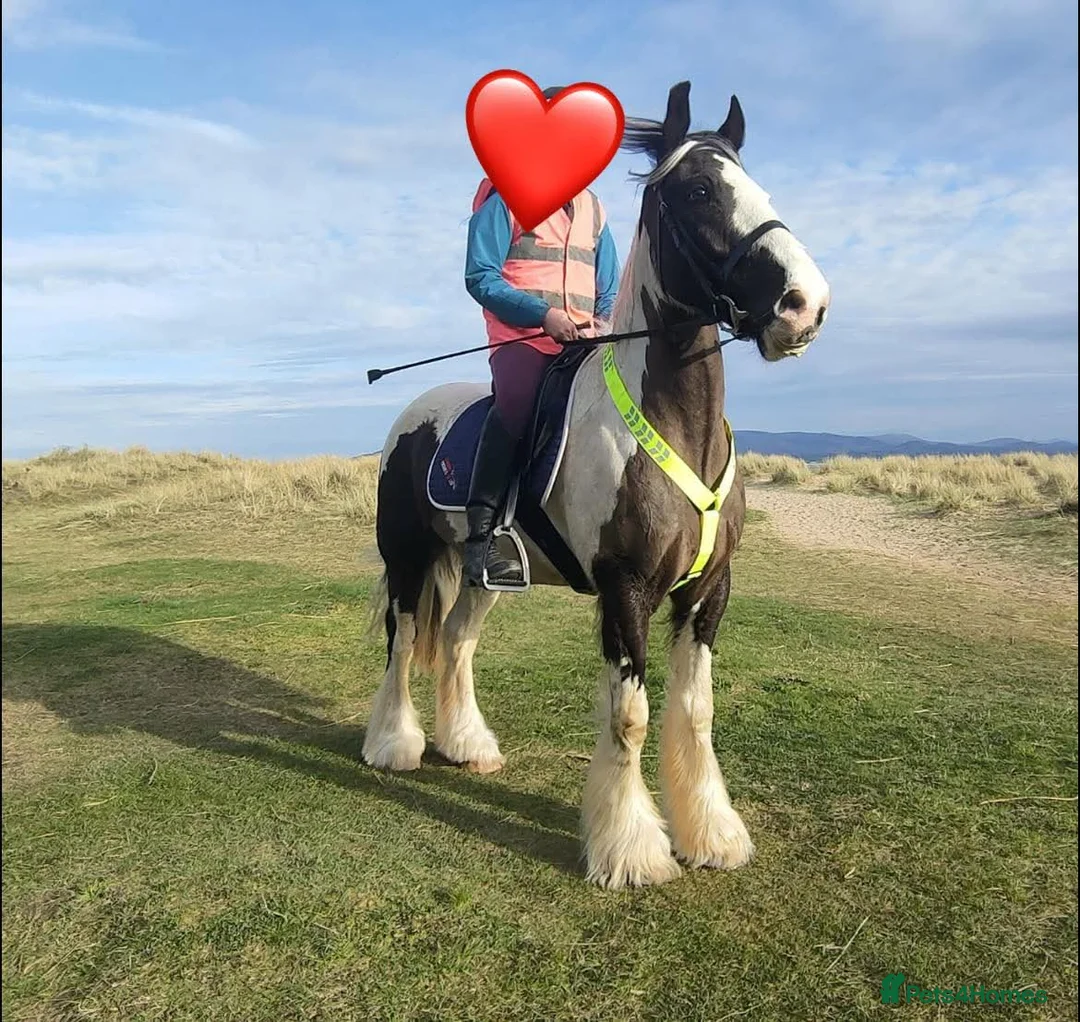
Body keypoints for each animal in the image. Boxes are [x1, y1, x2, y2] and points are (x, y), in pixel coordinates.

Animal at [363, 81, 830, 889]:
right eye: (700, 190)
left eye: (760, 189)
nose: (806, 303)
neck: (672, 425)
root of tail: (412, 414)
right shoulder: (627, 588)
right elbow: (630, 715)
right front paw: (632, 851)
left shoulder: (710, 591)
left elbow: (695, 711)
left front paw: (711, 835)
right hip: (407, 559)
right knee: (405, 637)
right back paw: (395, 744)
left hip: (484, 577)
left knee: (454, 643)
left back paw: (468, 744)